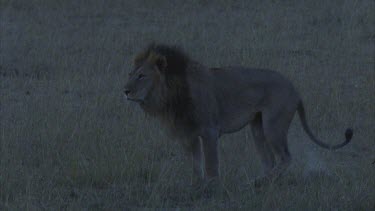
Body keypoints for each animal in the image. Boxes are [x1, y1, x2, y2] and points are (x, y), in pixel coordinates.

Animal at [124, 43, 356, 187]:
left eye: (141, 76)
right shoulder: (188, 135)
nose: (125, 91)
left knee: (285, 158)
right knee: (270, 161)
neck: (170, 94)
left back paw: (256, 183)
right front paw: (196, 186)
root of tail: (295, 90)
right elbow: (196, 164)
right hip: (257, 128)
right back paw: (261, 183)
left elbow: (211, 164)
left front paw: (211, 187)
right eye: (130, 74)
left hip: (273, 126)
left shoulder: (209, 131)